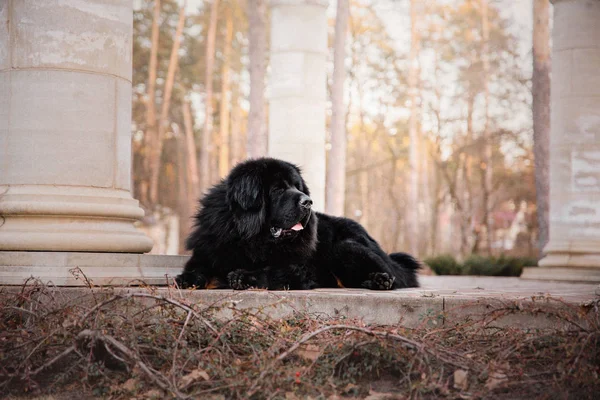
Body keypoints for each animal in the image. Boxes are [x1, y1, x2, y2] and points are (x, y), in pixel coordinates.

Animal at [173, 159, 420, 290]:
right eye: (278, 189)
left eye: (297, 186)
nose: (307, 201)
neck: (249, 239)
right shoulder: (208, 252)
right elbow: (198, 269)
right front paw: (187, 279)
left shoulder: (299, 268)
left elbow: (273, 272)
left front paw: (245, 276)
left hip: (347, 247)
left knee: (394, 277)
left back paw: (380, 280)